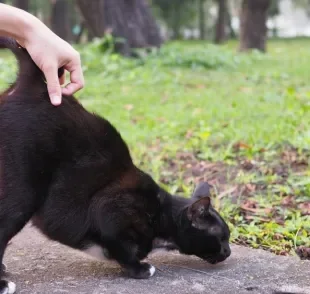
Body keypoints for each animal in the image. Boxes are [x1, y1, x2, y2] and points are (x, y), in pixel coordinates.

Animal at [0, 37, 230, 294]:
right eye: (222, 237)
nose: (229, 251)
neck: (163, 215)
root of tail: (33, 81)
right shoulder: (111, 209)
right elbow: (121, 248)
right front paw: (139, 268)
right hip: (22, 191)